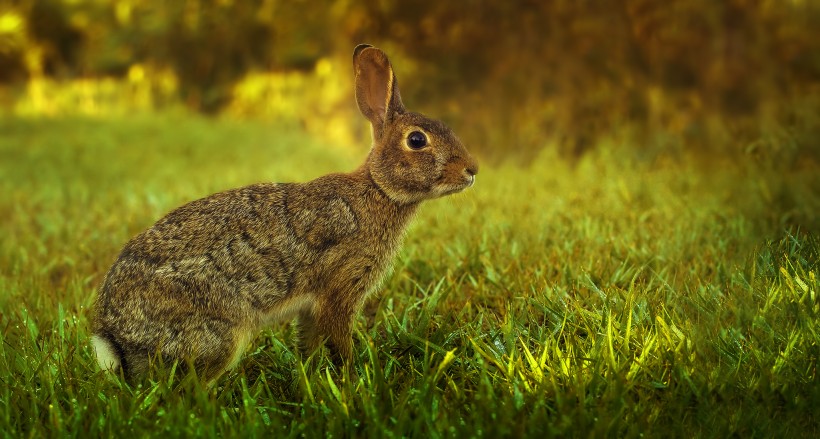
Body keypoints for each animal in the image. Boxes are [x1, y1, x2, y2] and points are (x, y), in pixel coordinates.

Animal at [90, 45, 478, 382]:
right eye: (417, 140)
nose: (471, 170)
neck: (379, 189)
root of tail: (116, 336)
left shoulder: (313, 307)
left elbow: (309, 343)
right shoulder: (340, 288)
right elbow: (339, 337)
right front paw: (353, 376)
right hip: (221, 332)